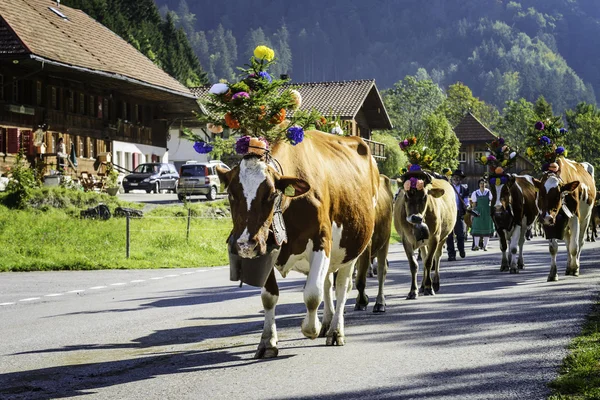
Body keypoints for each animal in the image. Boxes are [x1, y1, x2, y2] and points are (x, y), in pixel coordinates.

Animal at [216, 130, 378, 358]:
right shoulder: (265, 250)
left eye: (271, 194)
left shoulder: (322, 241)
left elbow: (312, 294)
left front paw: (311, 328)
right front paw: (267, 341)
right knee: (327, 282)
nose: (245, 244)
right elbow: (269, 297)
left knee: (341, 287)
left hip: (352, 250)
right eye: (231, 194)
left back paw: (335, 331)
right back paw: (327, 323)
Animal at [394, 139, 454, 298]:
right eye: (406, 195)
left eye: (425, 196)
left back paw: (435, 283)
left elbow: (428, 262)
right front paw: (413, 290)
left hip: (443, 237)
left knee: (436, 258)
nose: (415, 218)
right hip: (423, 241)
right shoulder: (405, 239)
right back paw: (421, 286)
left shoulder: (435, 237)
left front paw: (429, 287)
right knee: (425, 255)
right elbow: (414, 264)